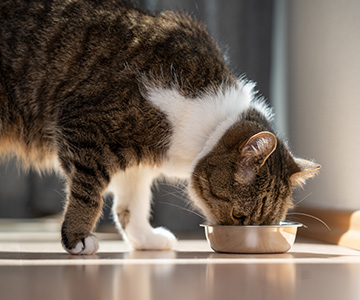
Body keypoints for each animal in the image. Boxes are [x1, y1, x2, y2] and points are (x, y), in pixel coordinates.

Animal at [0, 0, 320, 254]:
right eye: (239, 216)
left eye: (268, 223)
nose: (246, 235)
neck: (208, 124)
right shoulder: (85, 128)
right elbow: (88, 195)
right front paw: (78, 237)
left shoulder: (135, 165)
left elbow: (131, 205)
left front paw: (146, 240)